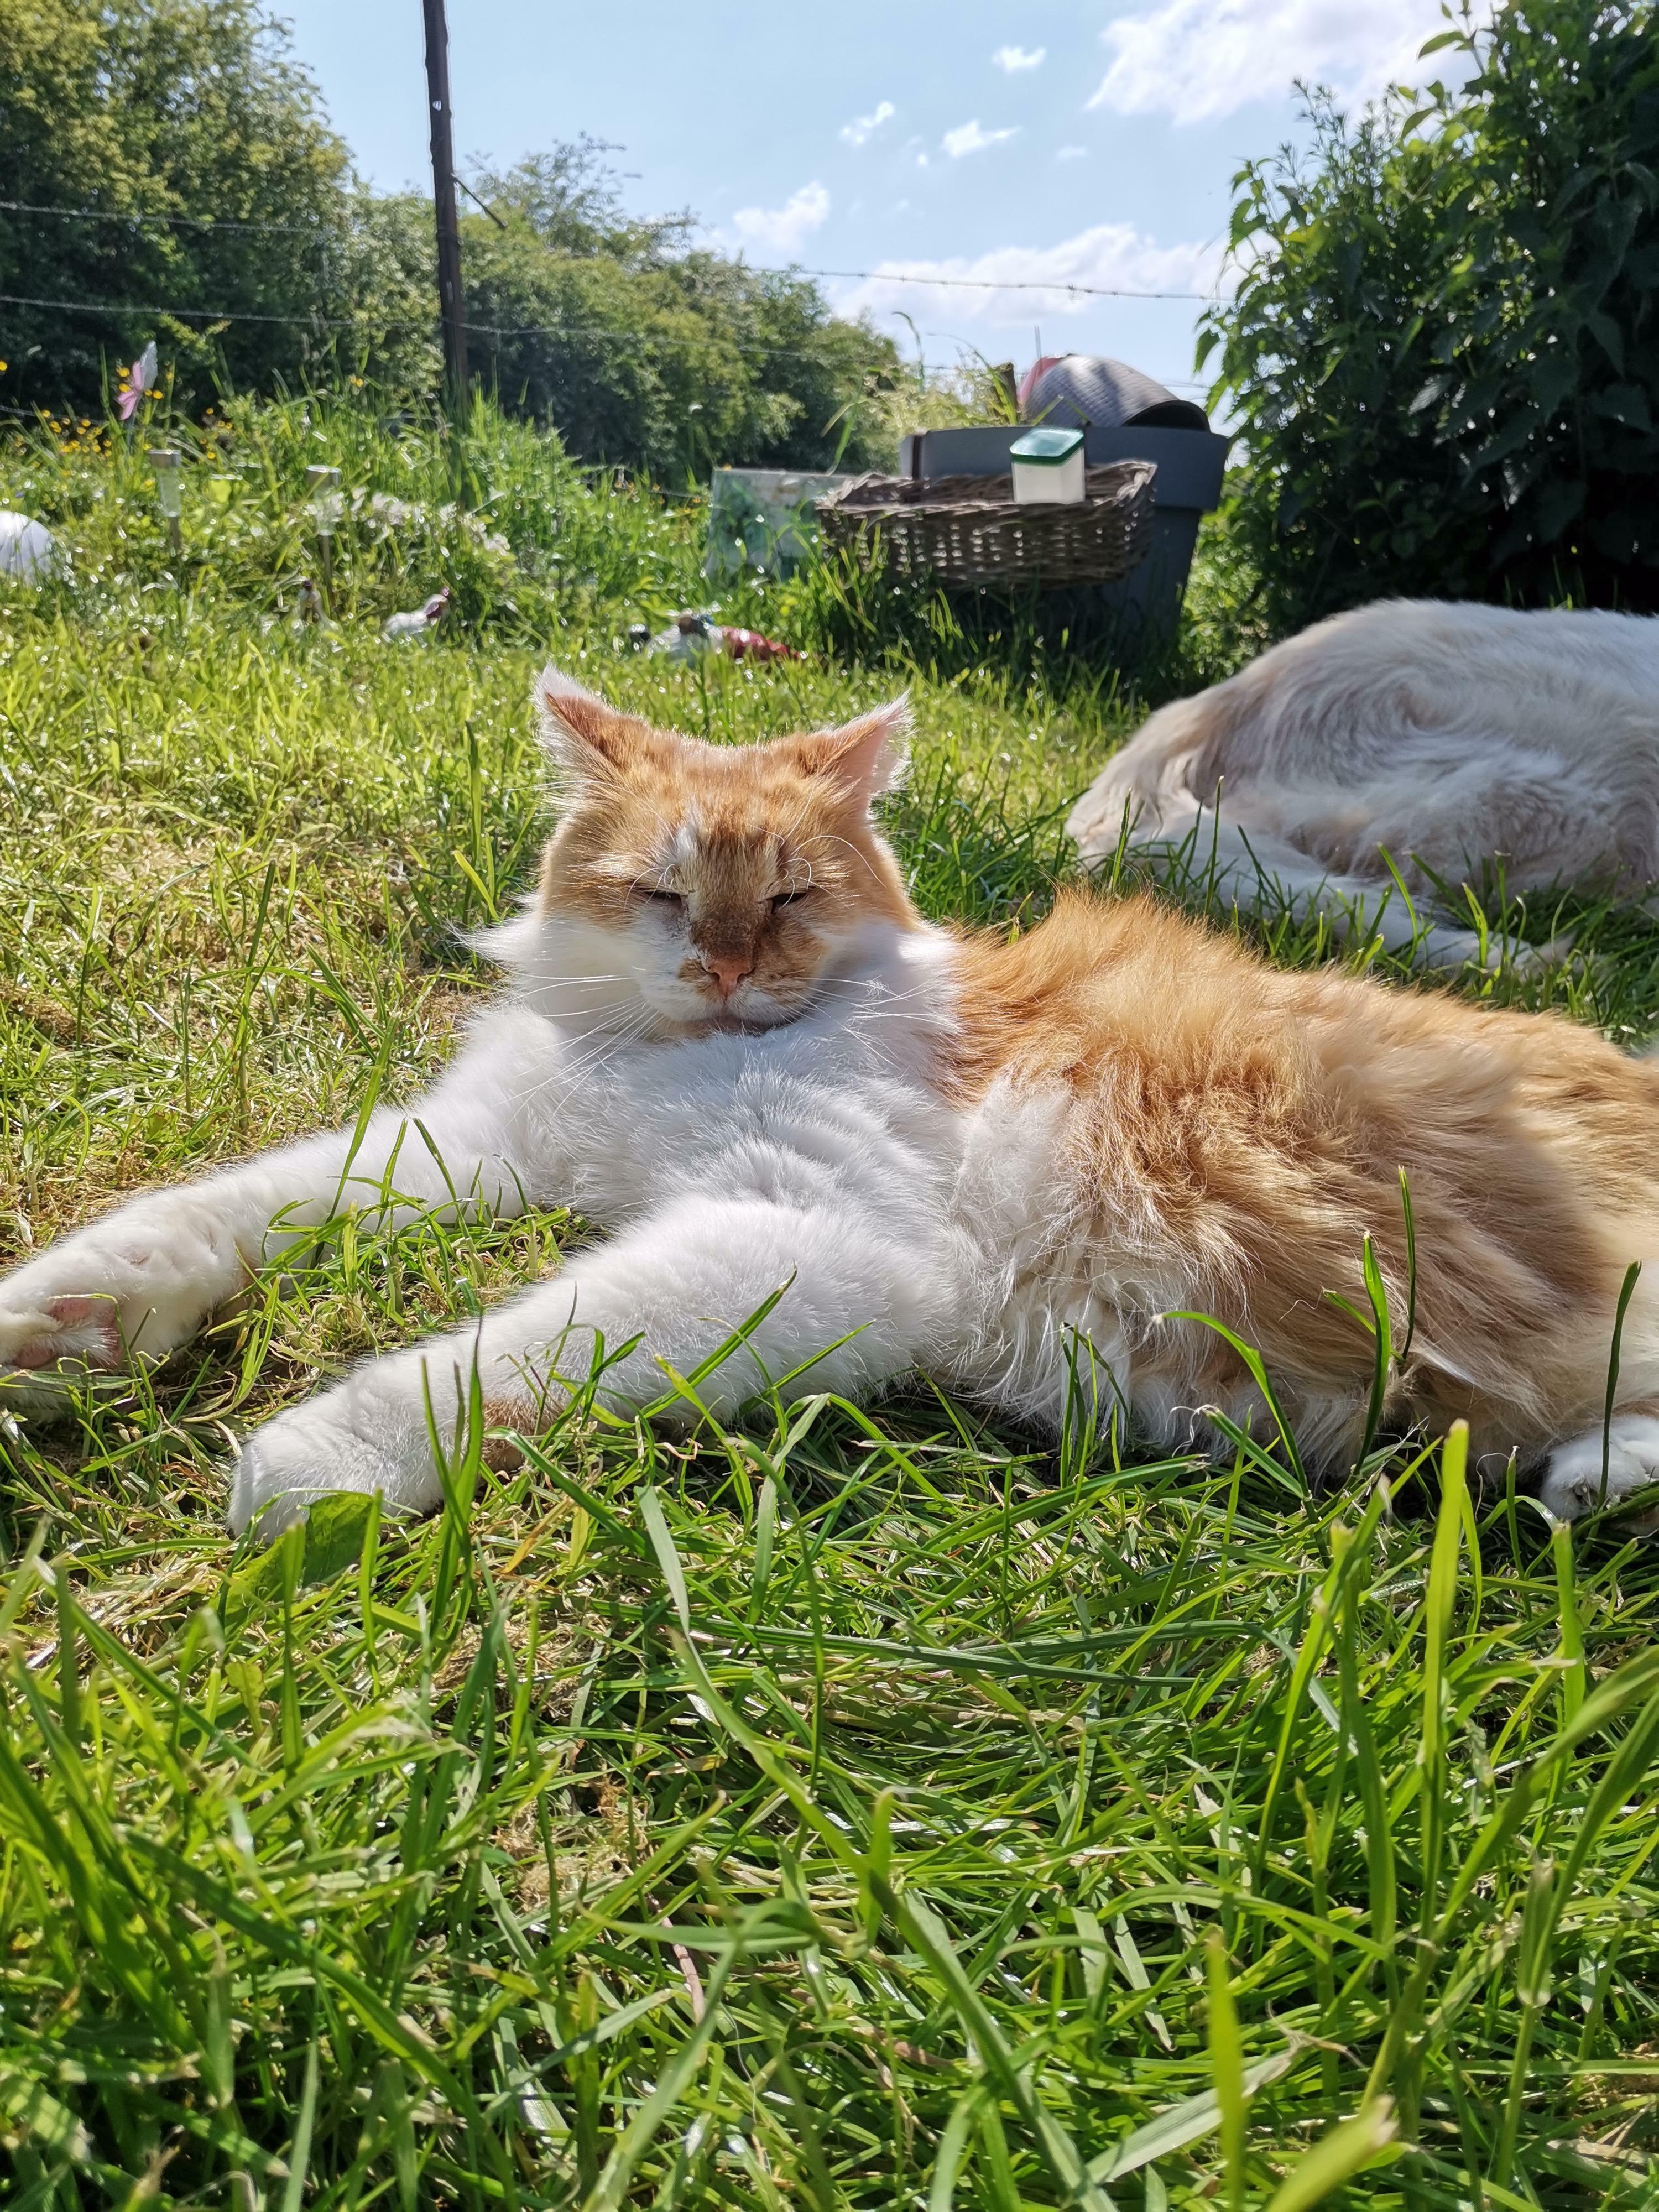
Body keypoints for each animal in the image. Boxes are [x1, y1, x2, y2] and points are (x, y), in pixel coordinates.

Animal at [3, 668, 1659, 1540]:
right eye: (662, 890)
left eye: (790, 894)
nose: (728, 965)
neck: (661, 1061)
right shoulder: (480, 1145)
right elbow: (218, 1212)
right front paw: (66, 1324)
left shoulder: (805, 1237)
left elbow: (488, 1358)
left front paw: (301, 1465)